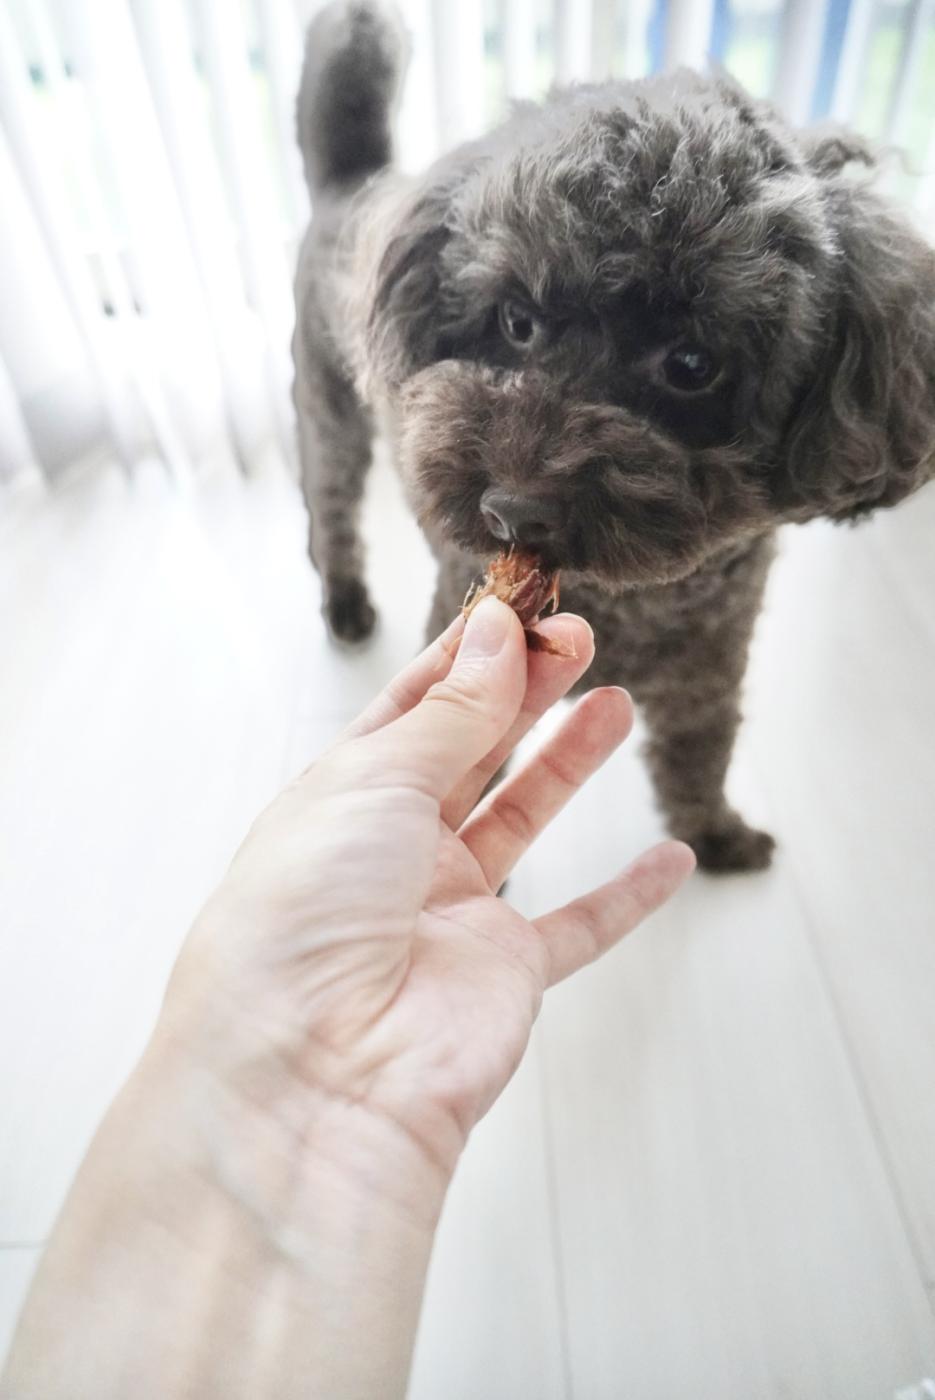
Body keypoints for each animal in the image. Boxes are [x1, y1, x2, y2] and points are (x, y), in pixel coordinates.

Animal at [292, 0, 935, 871]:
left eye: (691, 363)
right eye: (515, 322)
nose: (511, 510)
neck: (631, 601)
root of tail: (349, 183)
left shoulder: (710, 671)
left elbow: (699, 755)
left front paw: (714, 835)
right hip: (330, 414)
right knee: (330, 510)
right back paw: (345, 602)